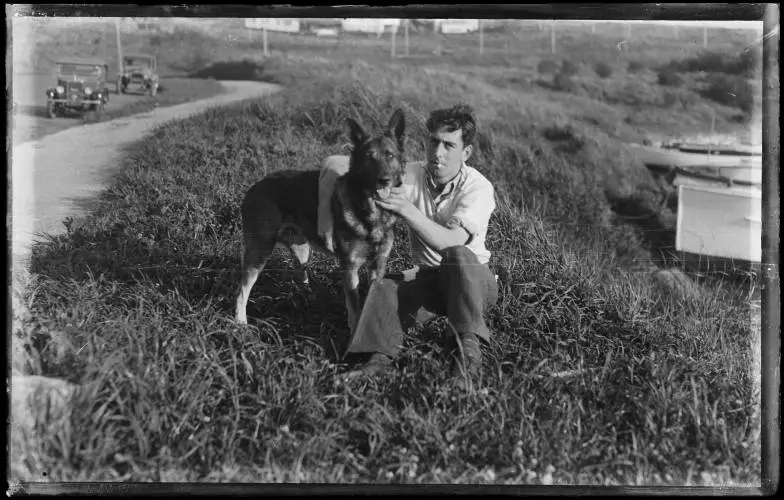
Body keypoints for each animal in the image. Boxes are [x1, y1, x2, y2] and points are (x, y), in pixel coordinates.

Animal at [234, 109, 408, 336]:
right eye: (369, 158)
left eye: (390, 155)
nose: (383, 180)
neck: (371, 212)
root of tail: (254, 186)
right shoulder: (349, 268)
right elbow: (355, 308)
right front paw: (355, 333)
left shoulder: (378, 266)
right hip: (259, 252)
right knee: (242, 290)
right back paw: (240, 323)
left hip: (301, 250)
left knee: (300, 274)